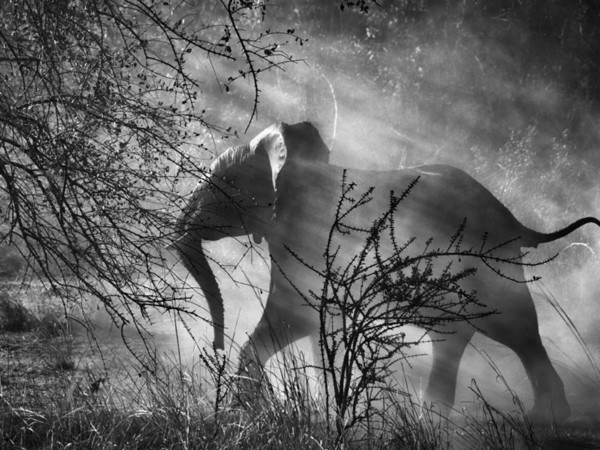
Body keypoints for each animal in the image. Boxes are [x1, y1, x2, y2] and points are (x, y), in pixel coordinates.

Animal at [172, 121, 600, 424]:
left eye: (222, 184)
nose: (214, 346)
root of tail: (514, 219)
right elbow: (316, 323)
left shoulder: (308, 238)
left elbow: (295, 316)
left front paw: (242, 412)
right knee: (459, 335)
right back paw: (437, 419)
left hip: (489, 261)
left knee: (514, 326)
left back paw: (544, 417)